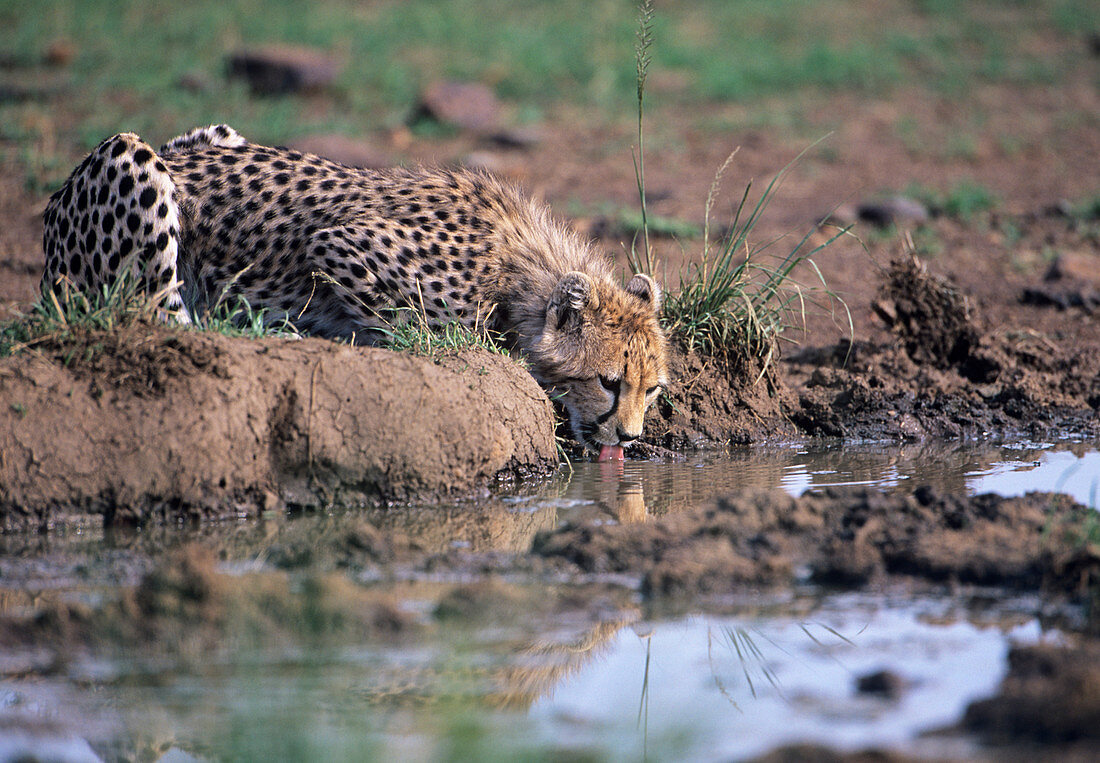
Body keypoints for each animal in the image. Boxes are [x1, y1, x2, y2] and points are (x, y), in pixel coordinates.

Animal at [42, 126, 668, 459]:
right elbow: (418, 327)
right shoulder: (337, 244)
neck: (516, 270)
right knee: (156, 315)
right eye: (609, 382)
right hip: (130, 159)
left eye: (653, 389)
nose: (631, 436)